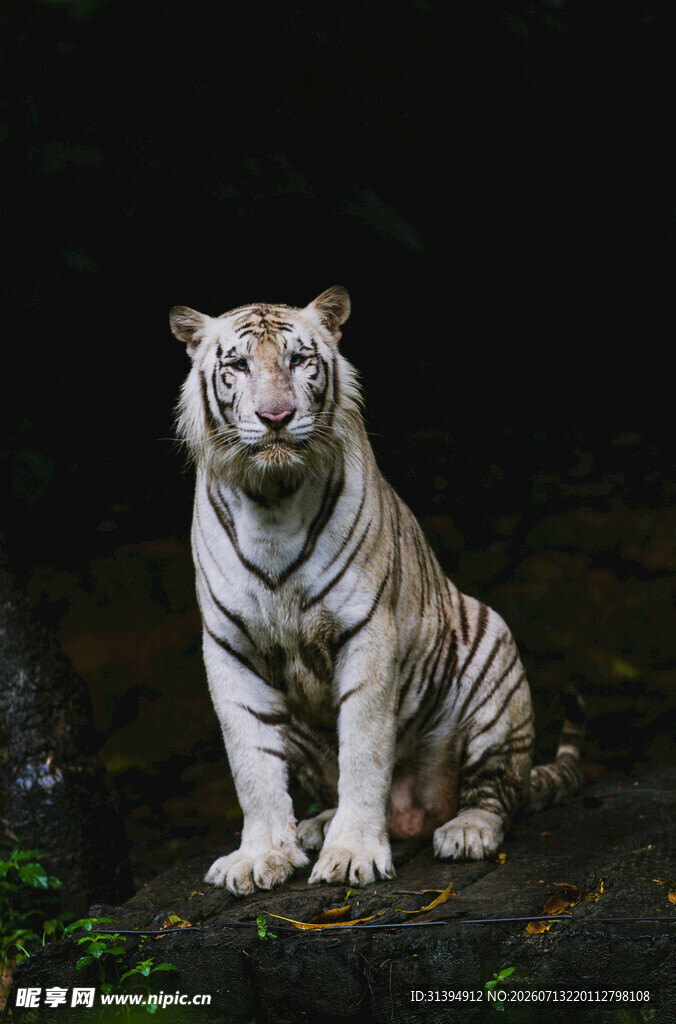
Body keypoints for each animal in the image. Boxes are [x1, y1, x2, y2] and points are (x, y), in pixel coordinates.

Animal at [170, 286, 585, 896]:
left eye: (299, 359)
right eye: (239, 365)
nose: (276, 417)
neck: (271, 499)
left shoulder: (366, 632)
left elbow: (365, 752)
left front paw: (351, 855)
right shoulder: (230, 649)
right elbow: (251, 766)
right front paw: (261, 855)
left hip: (494, 656)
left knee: (496, 792)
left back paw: (465, 831)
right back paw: (312, 827)